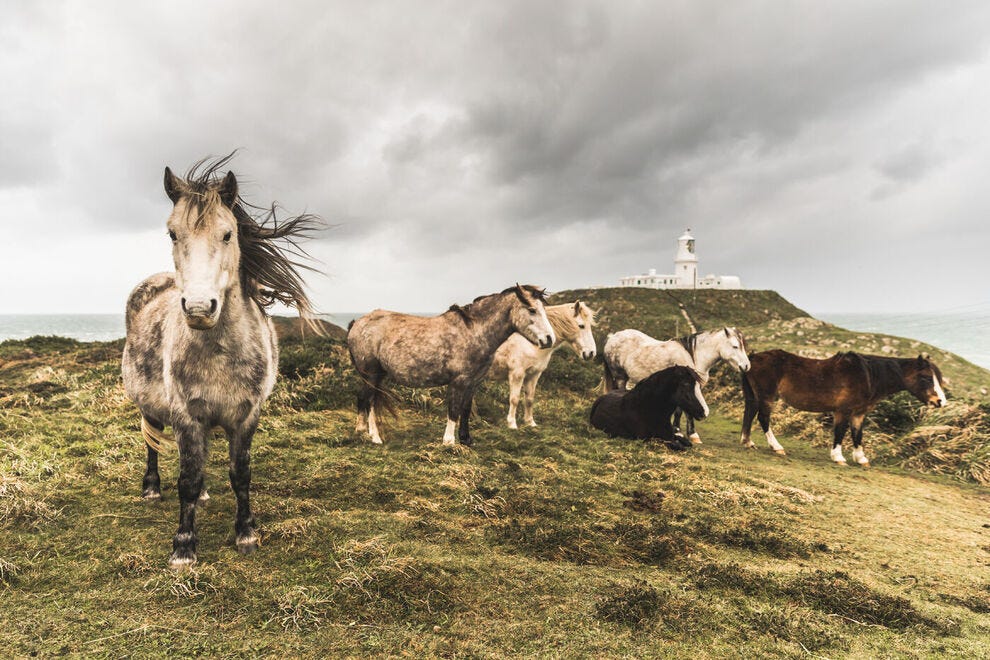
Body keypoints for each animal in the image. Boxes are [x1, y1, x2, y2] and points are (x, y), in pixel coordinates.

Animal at [348, 284, 556, 446]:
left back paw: (360, 430)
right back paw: (375, 437)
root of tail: (357, 323)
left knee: (363, 398)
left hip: (376, 376)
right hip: (372, 375)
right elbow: (454, 409)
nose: (549, 339)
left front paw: (466, 439)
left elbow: (465, 409)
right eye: (532, 310)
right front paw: (449, 441)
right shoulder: (459, 381)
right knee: (369, 401)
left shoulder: (472, 383)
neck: (474, 332)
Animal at [488, 302, 596, 430]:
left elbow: (529, 399)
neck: (531, 342)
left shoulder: (533, 375)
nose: (591, 353)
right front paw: (512, 424)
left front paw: (530, 423)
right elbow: (514, 399)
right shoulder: (517, 374)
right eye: (581, 326)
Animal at [604, 326, 752, 444]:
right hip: (620, 377)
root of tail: (612, 338)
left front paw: (690, 434)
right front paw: (682, 432)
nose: (746, 366)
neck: (693, 357)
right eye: (735, 346)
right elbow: (681, 411)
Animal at [744, 350, 944, 464]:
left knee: (750, 413)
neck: (867, 376)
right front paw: (838, 457)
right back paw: (776, 447)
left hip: (755, 395)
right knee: (763, 418)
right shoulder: (843, 411)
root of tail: (752, 357)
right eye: (926, 378)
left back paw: (747, 442)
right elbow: (840, 432)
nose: (941, 401)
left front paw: (861, 458)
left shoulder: (858, 414)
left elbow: (857, 434)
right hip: (767, 396)